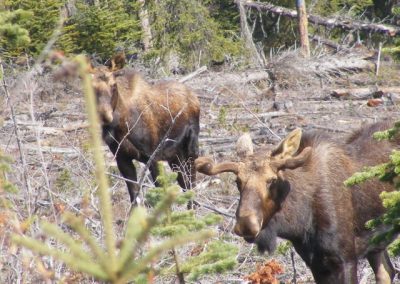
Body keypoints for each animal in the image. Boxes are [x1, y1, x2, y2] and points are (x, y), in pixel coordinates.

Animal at [92, 59, 202, 204]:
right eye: (91, 88)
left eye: (113, 85)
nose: (105, 116)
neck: (122, 125)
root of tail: (194, 97)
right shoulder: (122, 159)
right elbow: (134, 198)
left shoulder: (153, 157)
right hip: (174, 156)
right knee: (184, 183)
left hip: (190, 151)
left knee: (191, 185)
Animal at [197, 122, 400, 284]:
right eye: (238, 181)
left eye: (272, 180)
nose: (246, 224)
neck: (300, 221)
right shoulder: (316, 263)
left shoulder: (346, 258)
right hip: (376, 243)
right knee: (387, 272)